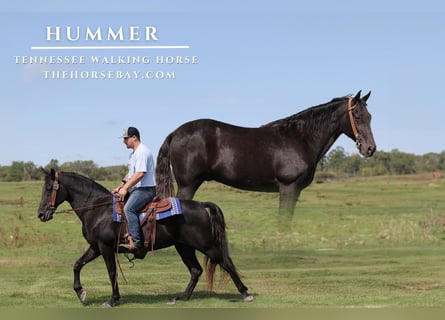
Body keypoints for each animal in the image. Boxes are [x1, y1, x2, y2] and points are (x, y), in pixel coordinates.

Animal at [37, 169, 253, 306]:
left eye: (49, 188)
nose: (40, 214)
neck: (97, 209)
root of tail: (200, 205)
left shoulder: (105, 247)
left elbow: (112, 273)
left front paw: (113, 299)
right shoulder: (95, 247)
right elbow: (77, 264)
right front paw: (81, 293)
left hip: (205, 244)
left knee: (224, 261)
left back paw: (245, 293)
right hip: (183, 246)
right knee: (196, 270)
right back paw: (182, 297)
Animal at [156, 89, 374, 221]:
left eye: (370, 116)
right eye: (356, 116)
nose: (370, 148)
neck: (301, 137)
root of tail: (175, 133)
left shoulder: (295, 191)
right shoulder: (288, 187)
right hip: (188, 184)